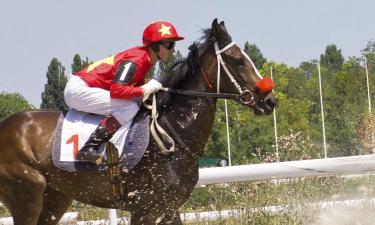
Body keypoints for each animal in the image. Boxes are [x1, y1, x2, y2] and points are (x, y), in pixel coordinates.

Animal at [0, 19, 276, 225]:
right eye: (239, 61)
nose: (269, 101)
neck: (172, 134)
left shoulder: (168, 208)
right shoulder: (146, 208)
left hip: (56, 197)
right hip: (28, 192)